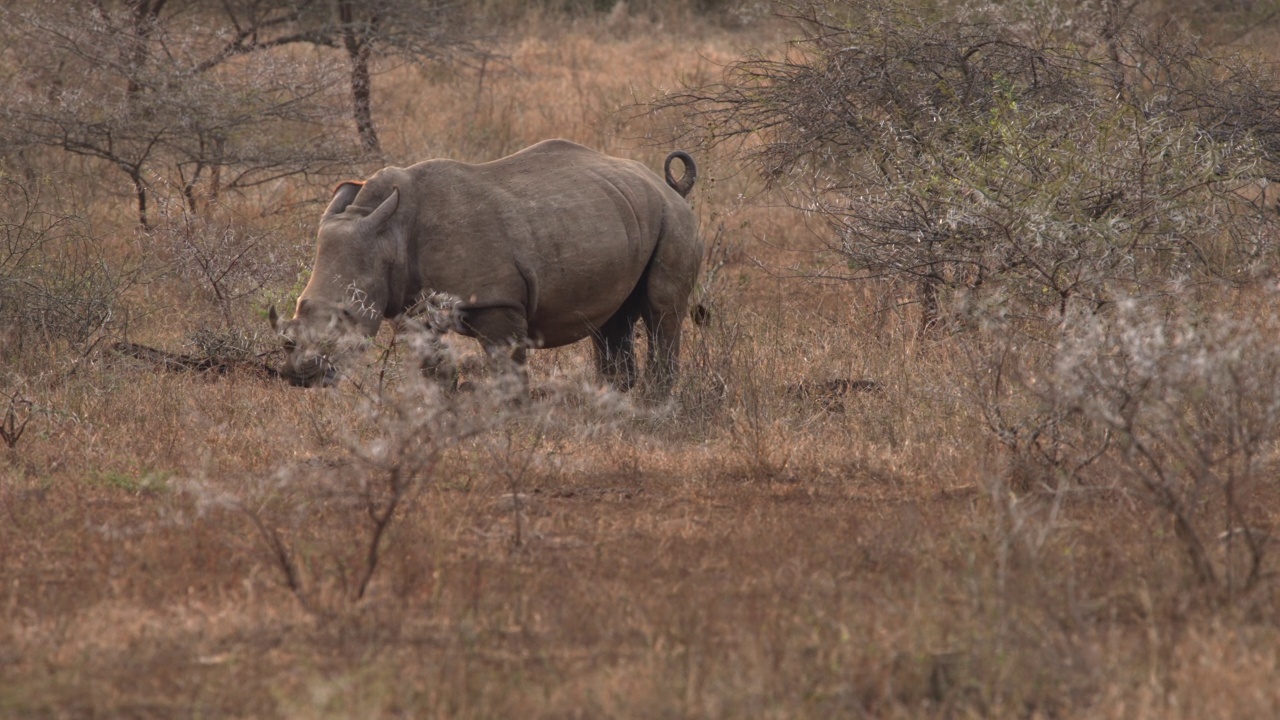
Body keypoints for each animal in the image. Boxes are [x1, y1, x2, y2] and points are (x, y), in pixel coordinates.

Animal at [268, 139, 701, 392]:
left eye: (345, 315)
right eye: (301, 305)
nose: (299, 375)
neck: (387, 234)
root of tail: (667, 186)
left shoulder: (496, 300)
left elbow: (505, 361)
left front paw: (514, 417)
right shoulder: (407, 304)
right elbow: (432, 363)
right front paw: (439, 410)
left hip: (674, 220)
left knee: (662, 311)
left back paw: (656, 402)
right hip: (619, 211)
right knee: (612, 319)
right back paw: (618, 399)